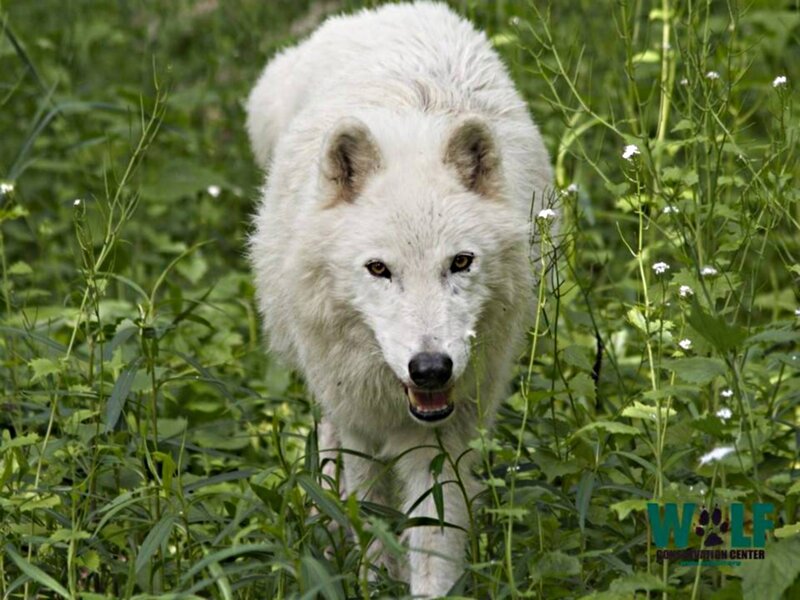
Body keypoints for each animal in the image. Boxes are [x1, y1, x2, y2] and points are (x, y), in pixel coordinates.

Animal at [246, 1, 553, 596]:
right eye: (379, 269)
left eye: (461, 262)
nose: (430, 368)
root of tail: (383, 11)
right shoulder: (360, 418)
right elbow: (368, 510)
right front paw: (372, 575)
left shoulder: (444, 436)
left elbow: (434, 541)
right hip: (328, 384)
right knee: (329, 448)